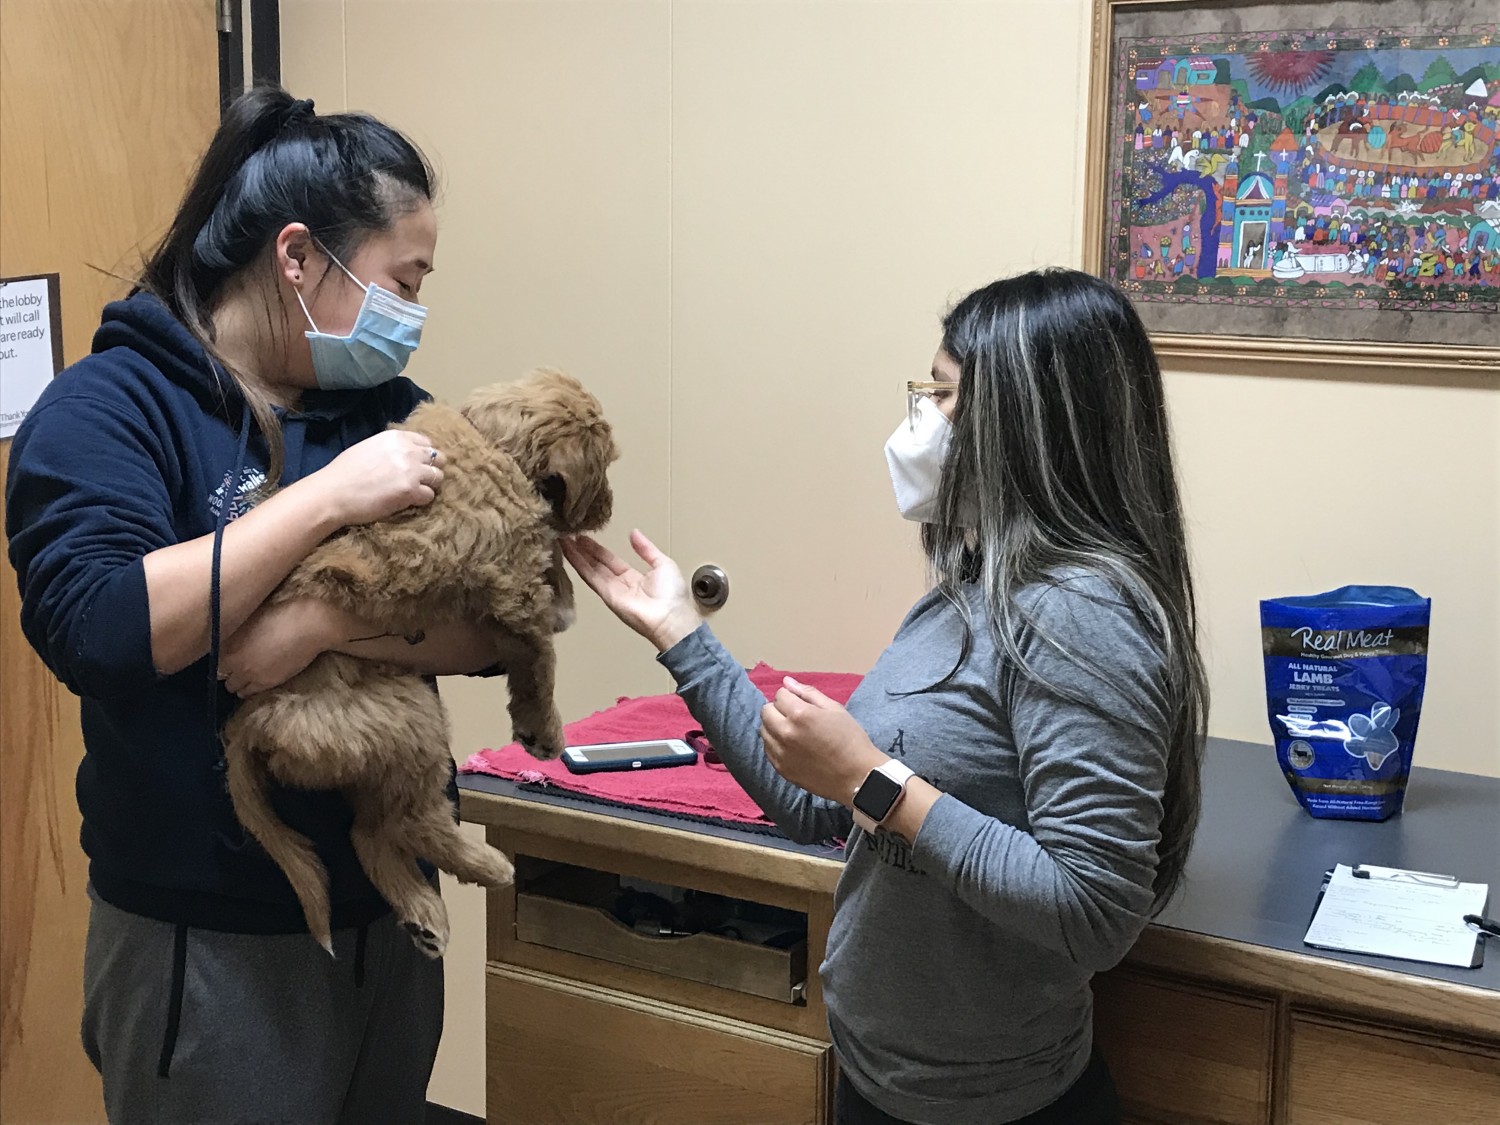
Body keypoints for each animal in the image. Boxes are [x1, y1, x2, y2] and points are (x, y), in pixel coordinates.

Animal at [223, 370, 621, 960]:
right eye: (607, 463)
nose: (608, 509)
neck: (491, 442)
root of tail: (250, 723)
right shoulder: (513, 587)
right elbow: (539, 659)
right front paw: (543, 730)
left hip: (377, 747)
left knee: (368, 833)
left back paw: (424, 915)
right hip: (412, 717)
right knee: (410, 822)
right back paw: (488, 868)